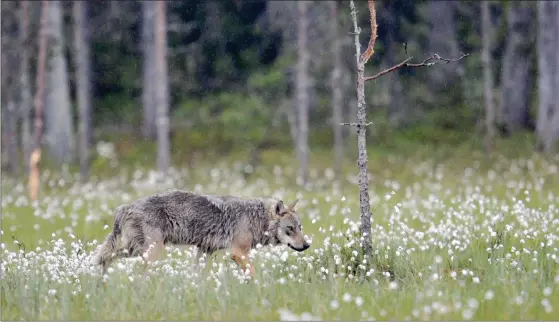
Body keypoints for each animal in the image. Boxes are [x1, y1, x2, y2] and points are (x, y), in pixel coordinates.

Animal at [92, 190, 310, 278]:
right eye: (290, 229)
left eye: (300, 228)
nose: (307, 245)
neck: (254, 217)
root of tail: (124, 207)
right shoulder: (237, 252)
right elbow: (253, 272)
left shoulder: (205, 250)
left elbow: (198, 275)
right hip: (152, 253)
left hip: (134, 251)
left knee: (106, 257)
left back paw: (101, 283)